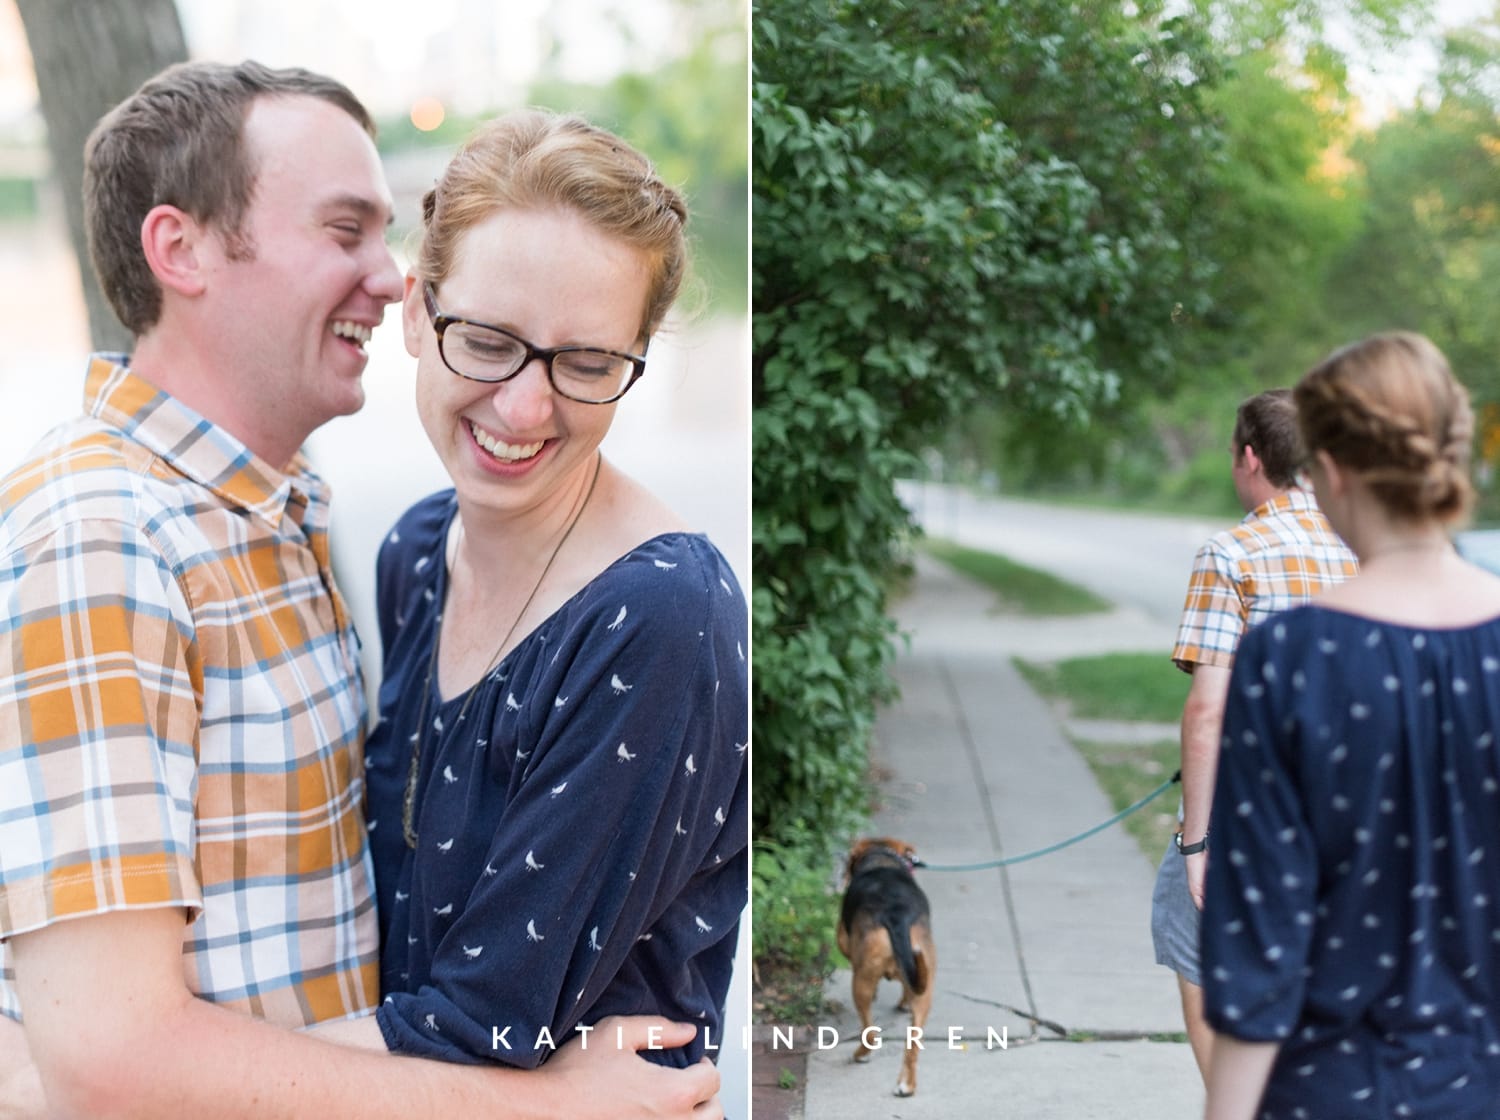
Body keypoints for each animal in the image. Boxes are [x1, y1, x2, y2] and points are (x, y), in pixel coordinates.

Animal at [840, 839, 930, 1097]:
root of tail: (896, 915)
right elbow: (906, 985)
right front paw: (903, 1001)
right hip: (925, 983)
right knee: (912, 1045)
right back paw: (907, 1085)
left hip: (860, 984)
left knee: (870, 1032)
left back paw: (860, 1055)